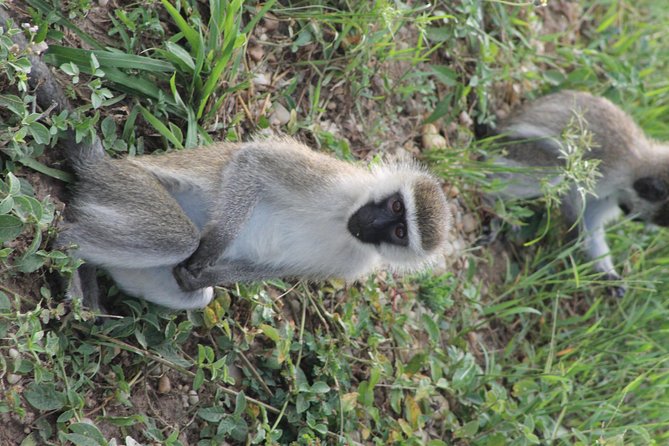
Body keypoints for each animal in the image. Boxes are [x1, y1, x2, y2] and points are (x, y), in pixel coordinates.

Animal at [483, 90, 669, 296]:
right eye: (634, 216)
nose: (630, 216)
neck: (635, 166)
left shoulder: (613, 194)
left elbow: (591, 217)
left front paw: (607, 272)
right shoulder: (607, 171)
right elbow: (573, 194)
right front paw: (577, 239)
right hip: (512, 149)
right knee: (554, 171)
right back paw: (491, 200)